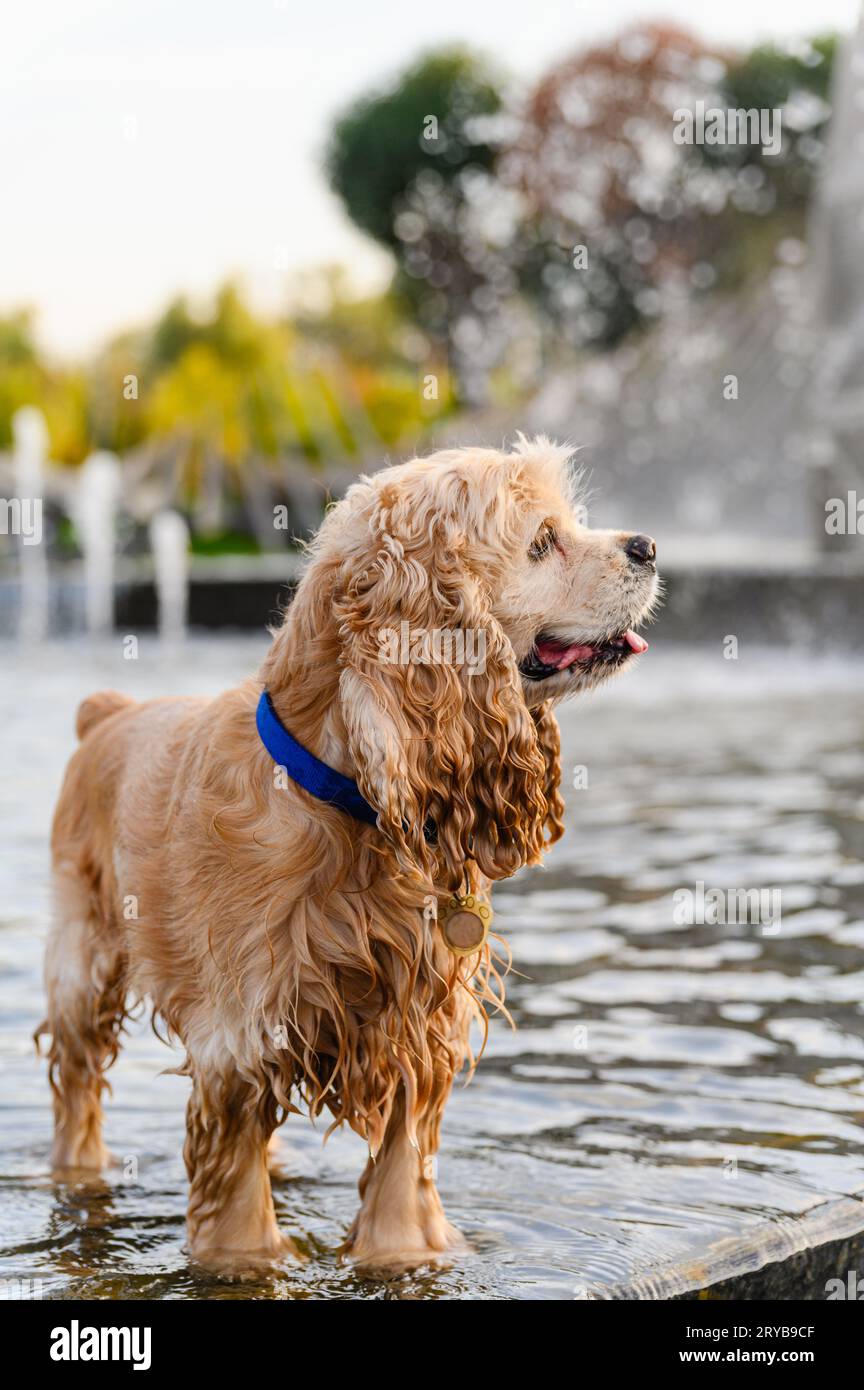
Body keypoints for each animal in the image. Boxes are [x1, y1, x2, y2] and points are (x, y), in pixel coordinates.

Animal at [40, 436, 661, 1273]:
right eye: (542, 541)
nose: (648, 546)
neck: (351, 809)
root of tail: (106, 712)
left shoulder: (420, 1023)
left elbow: (402, 1172)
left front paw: (406, 1255)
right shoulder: (241, 1037)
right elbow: (236, 1198)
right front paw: (246, 1262)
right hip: (84, 963)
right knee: (76, 1087)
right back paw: (78, 1172)